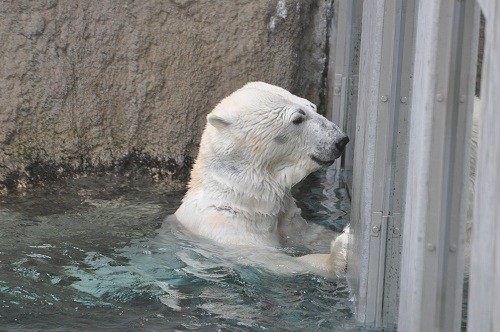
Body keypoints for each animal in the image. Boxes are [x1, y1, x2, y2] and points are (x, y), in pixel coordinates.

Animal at [174, 81, 350, 276]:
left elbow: (312, 235)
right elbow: (273, 261)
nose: (340, 140)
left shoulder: (288, 217)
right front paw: (338, 255)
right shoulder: (227, 230)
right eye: (297, 119)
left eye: (312, 107)